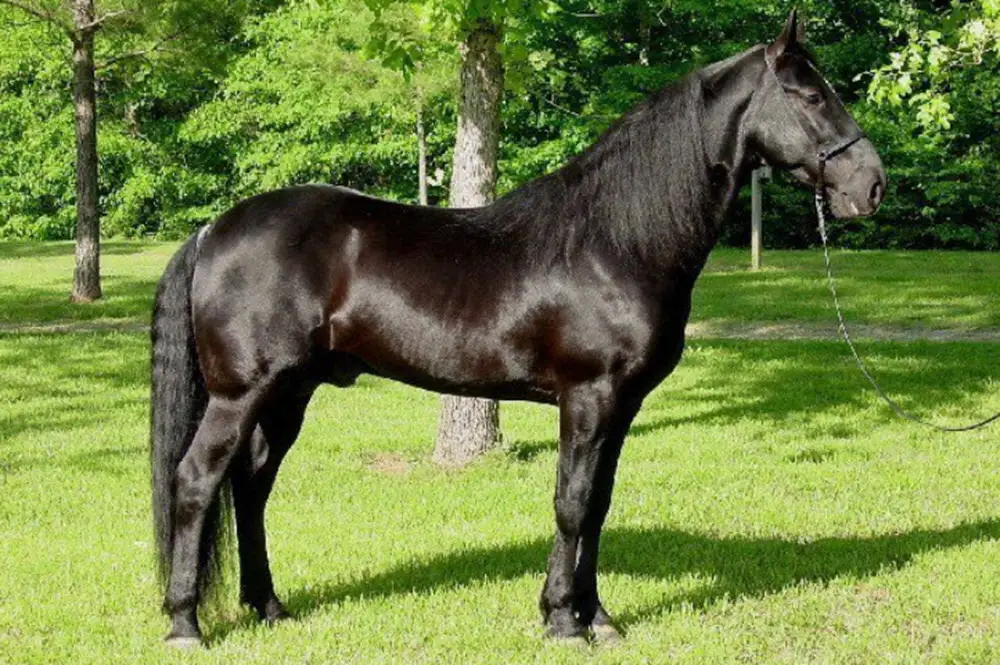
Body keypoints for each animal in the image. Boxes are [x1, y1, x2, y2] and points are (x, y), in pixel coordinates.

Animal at [146, 7, 884, 644]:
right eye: (809, 96)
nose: (871, 184)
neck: (615, 241)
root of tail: (214, 230)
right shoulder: (588, 397)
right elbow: (572, 502)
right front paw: (562, 619)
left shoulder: (621, 406)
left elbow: (599, 504)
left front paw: (598, 616)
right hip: (241, 394)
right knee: (196, 482)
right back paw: (186, 623)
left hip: (289, 392)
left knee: (250, 486)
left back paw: (269, 606)